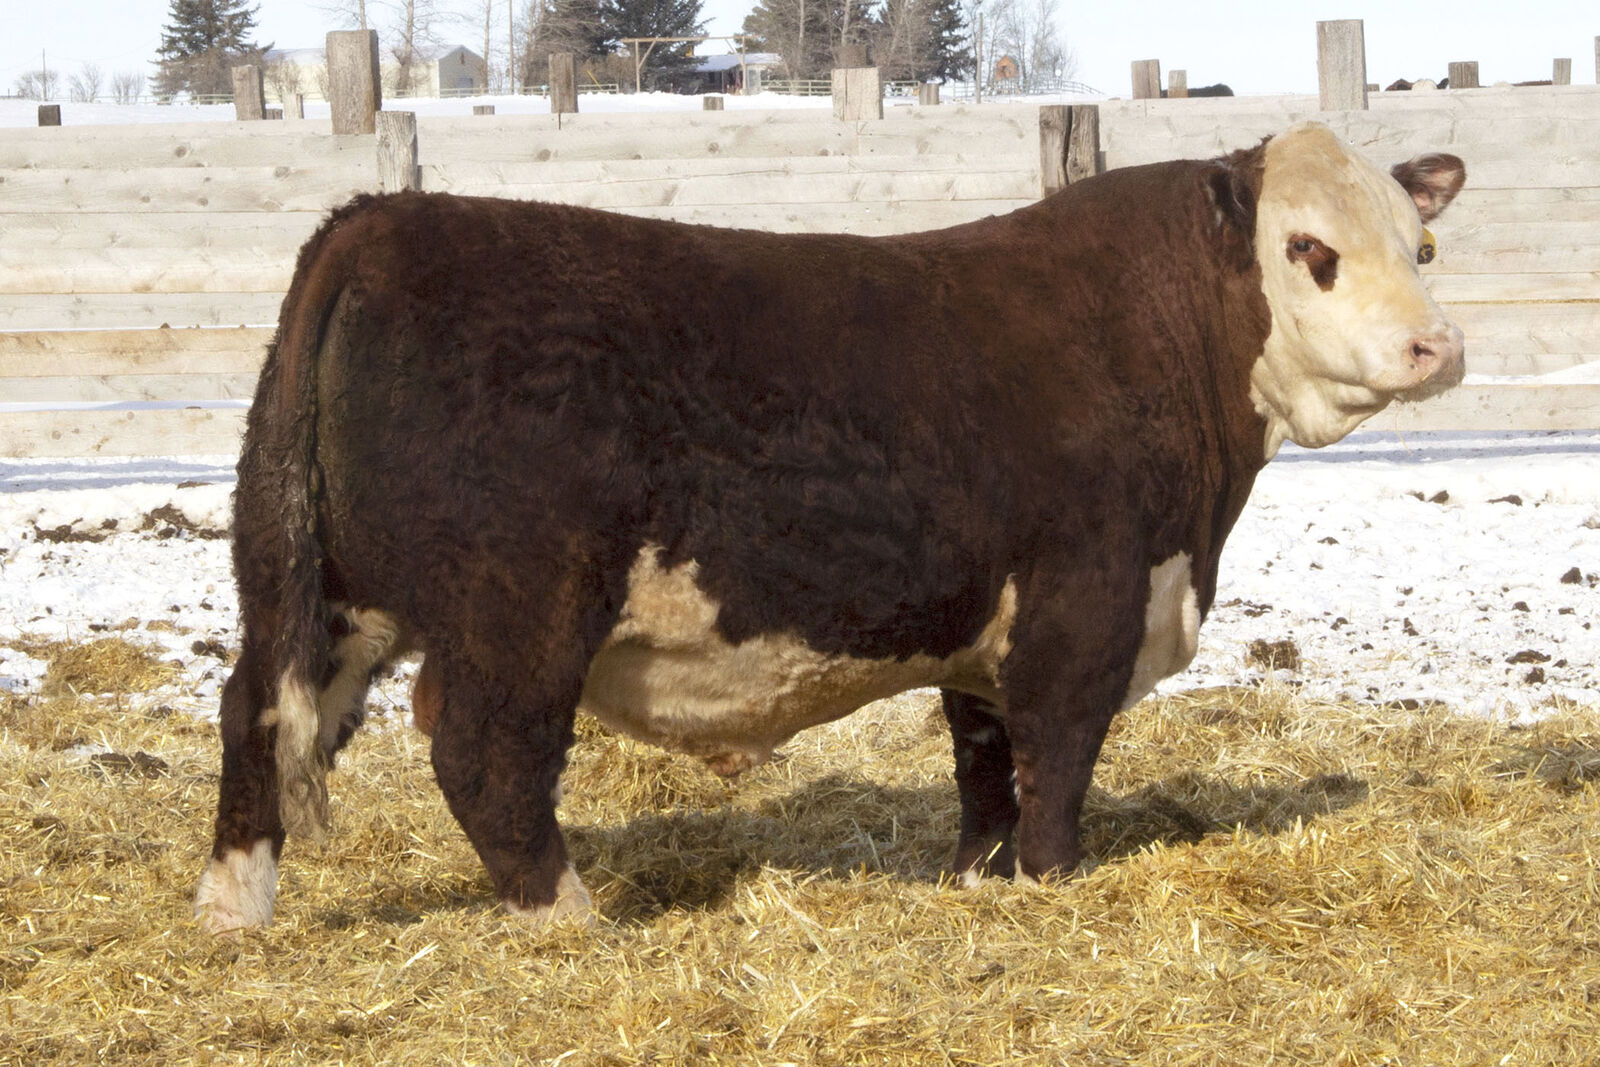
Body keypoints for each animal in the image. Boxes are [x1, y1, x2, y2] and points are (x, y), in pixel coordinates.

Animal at [194, 122, 1466, 933]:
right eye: (1309, 249)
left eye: (1422, 246)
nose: (1433, 347)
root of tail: (377, 222)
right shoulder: (1083, 604)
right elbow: (1055, 766)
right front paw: (1052, 889)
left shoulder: (983, 628)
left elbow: (983, 765)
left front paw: (974, 882)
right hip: (520, 602)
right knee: (482, 747)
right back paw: (569, 918)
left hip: (321, 590)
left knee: (256, 709)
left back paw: (232, 913)